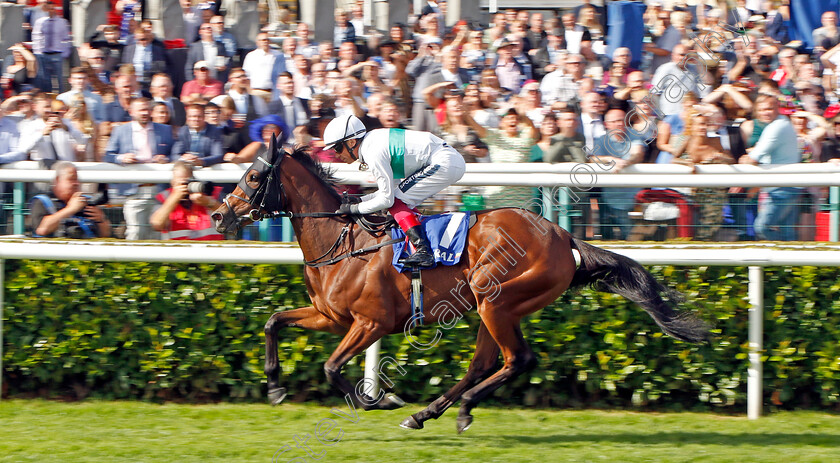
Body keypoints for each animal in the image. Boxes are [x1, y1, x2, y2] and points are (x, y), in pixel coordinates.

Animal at [212, 141, 708, 436]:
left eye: (253, 177)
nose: (219, 215)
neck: (344, 241)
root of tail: (562, 236)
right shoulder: (332, 317)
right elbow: (272, 321)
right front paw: (275, 387)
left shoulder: (370, 323)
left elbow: (333, 369)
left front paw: (380, 399)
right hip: (496, 307)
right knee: (485, 363)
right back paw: (430, 412)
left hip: (496, 300)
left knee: (516, 360)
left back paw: (453, 407)